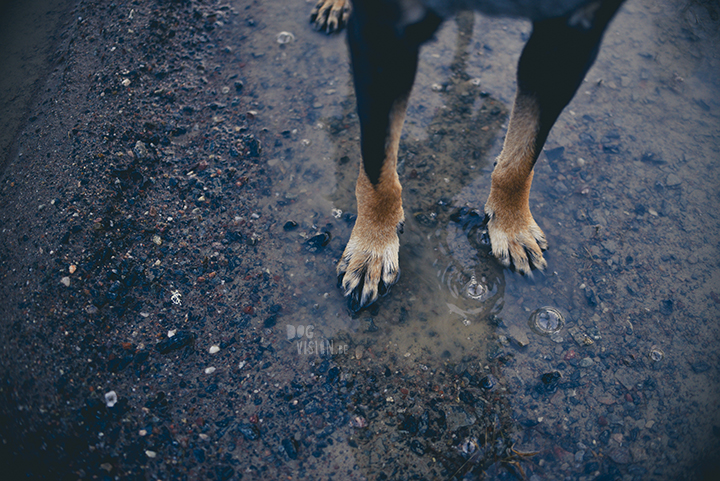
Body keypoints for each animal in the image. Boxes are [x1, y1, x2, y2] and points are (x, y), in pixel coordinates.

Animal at [314, 0, 624, 310]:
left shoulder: (571, 41)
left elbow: (521, 159)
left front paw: (512, 225)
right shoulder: (381, 37)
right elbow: (378, 173)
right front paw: (373, 248)